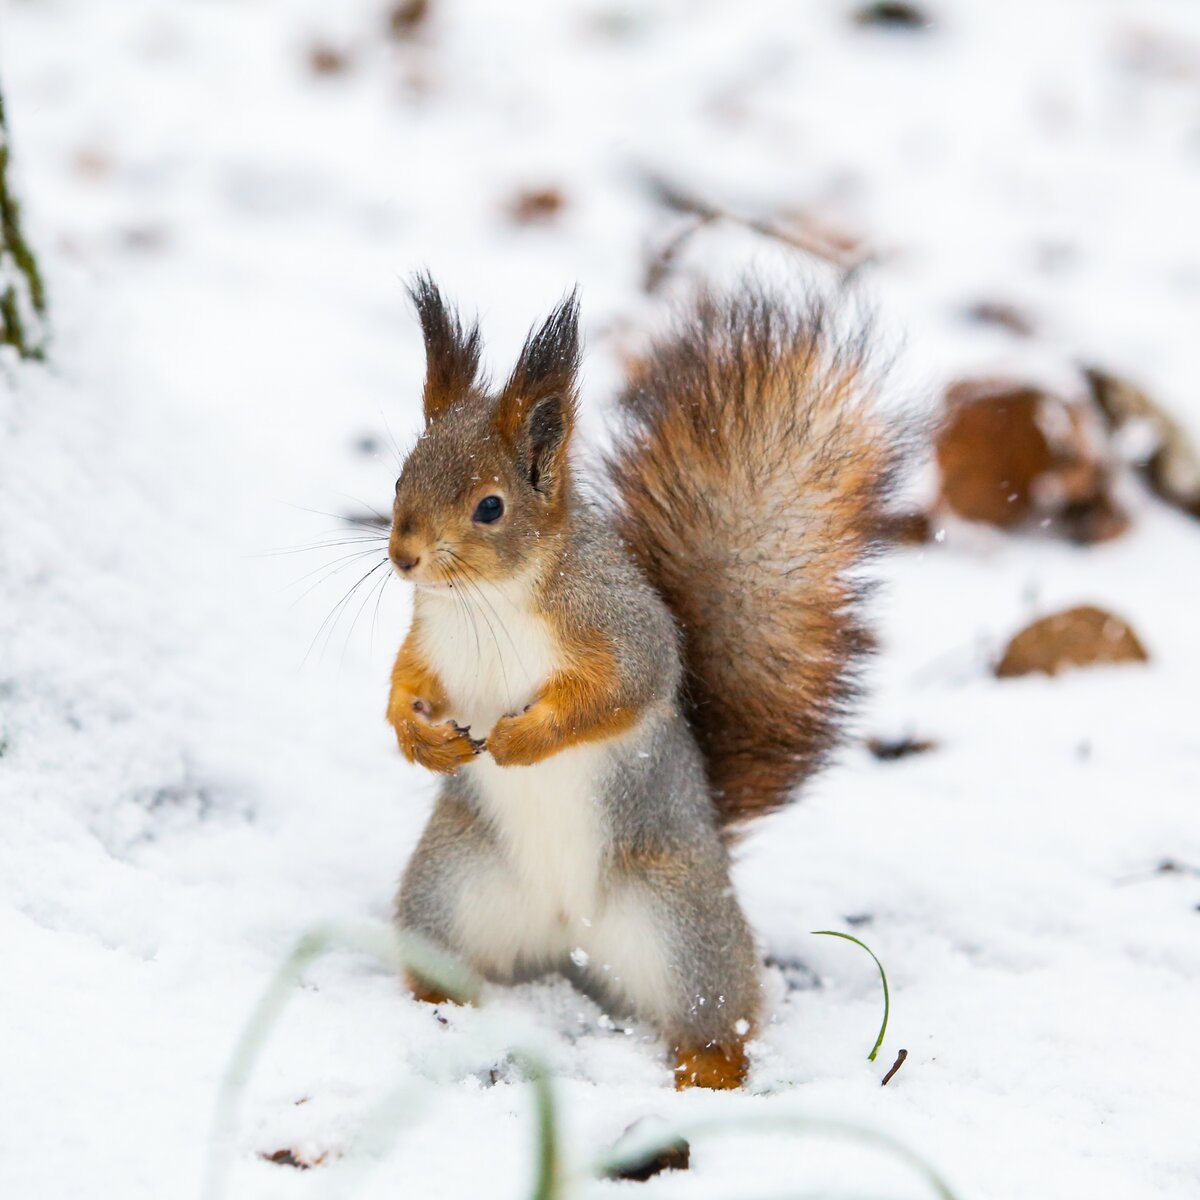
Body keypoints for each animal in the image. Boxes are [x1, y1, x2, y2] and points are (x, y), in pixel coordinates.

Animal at [384, 276, 902, 1094]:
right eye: (402, 473)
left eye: (490, 506)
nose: (402, 556)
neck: (485, 601)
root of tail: (566, 937)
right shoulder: (430, 640)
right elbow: (405, 683)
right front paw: (417, 735)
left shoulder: (625, 634)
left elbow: (621, 692)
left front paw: (525, 738)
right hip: (448, 892)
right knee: (445, 963)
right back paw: (440, 1008)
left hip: (681, 924)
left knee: (720, 1016)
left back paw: (705, 1071)